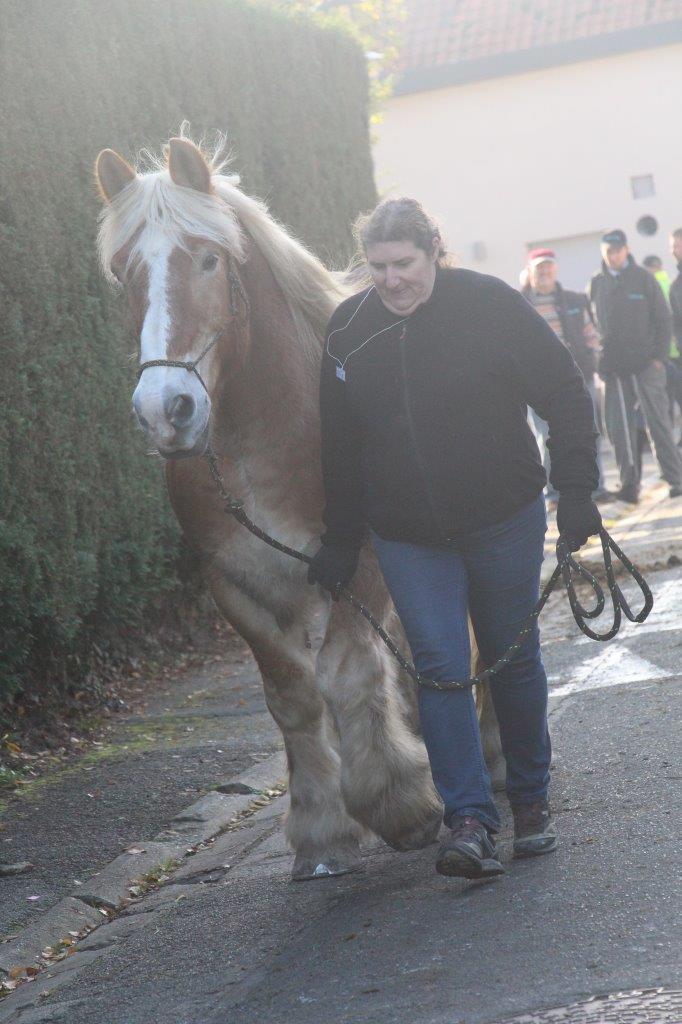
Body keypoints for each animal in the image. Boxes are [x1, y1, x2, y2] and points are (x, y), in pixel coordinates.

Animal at [94, 134, 499, 880]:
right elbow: (292, 697)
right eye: (123, 271)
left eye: (208, 259)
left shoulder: (360, 563)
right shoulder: (238, 586)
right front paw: (320, 827)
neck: (261, 441)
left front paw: (397, 803)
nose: (166, 410)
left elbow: (345, 673)